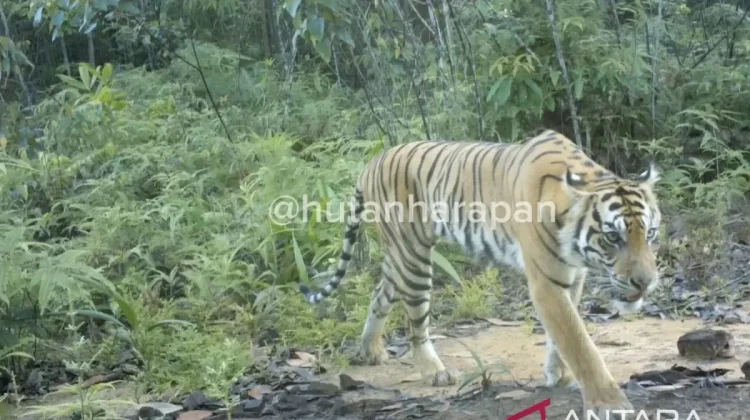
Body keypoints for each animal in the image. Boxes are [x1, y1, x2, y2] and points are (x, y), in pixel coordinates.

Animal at [298, 129, 662, 418]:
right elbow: (579, 343)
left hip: (400, 256)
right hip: (414, 257)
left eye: (651, 233)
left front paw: (557, 374)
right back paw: (434, 372)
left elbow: (561, 337)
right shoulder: (546, 281)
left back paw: (371, 350)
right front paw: (609, 404)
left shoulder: (572, 275)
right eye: (613, 237)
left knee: (380, 293)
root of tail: (372, 162)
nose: (645, 282)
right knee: (415, 323)